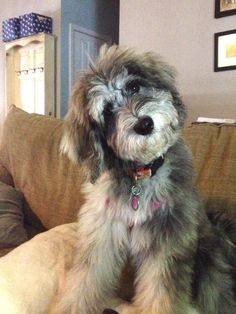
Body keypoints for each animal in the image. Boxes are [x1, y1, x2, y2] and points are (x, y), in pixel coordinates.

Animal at [59, 44, 236, 314]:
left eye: (133, 87)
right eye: (107, 111)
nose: (144, 124)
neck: (141, 175)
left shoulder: (166, 244)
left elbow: (161, 294)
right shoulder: (101, 238)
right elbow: (84, 281)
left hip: (210, 263)